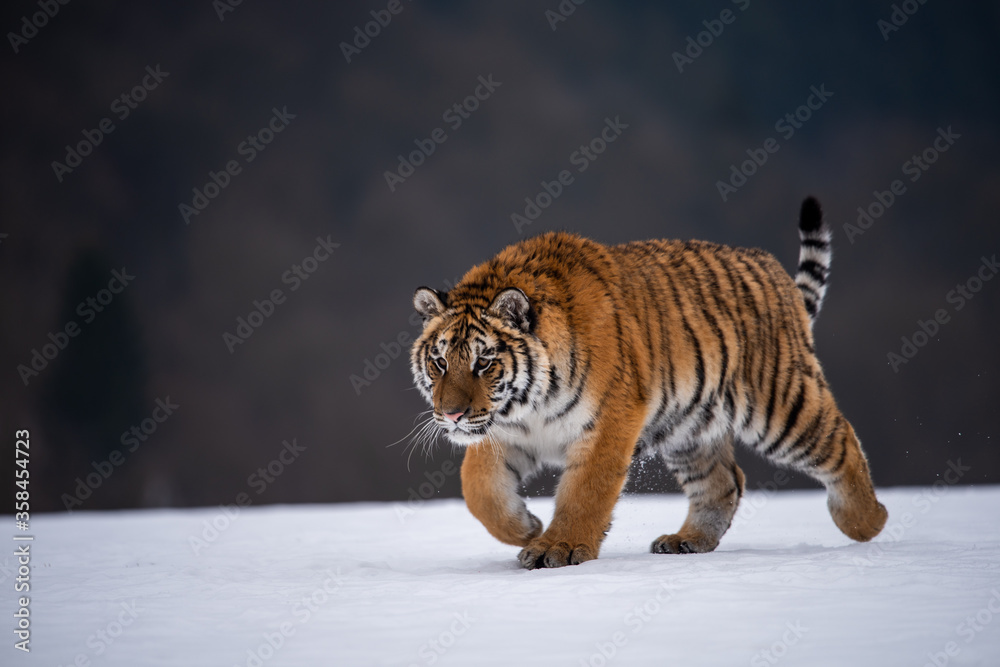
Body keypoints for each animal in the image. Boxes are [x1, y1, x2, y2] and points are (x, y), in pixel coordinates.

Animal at [409, 197, 887, 569]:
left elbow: (586, 491)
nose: (451, 414)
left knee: (841, 441)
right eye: (439, 362)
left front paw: (557, 547)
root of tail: (772, 269)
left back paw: (868, 522)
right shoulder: (505, 432)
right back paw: (687, 541)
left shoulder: (608, 422)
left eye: (484, 362)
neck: (528, 405)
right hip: (689, 427)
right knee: (724, 481)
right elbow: (479, 489)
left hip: (778, 405)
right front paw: (526, 528)